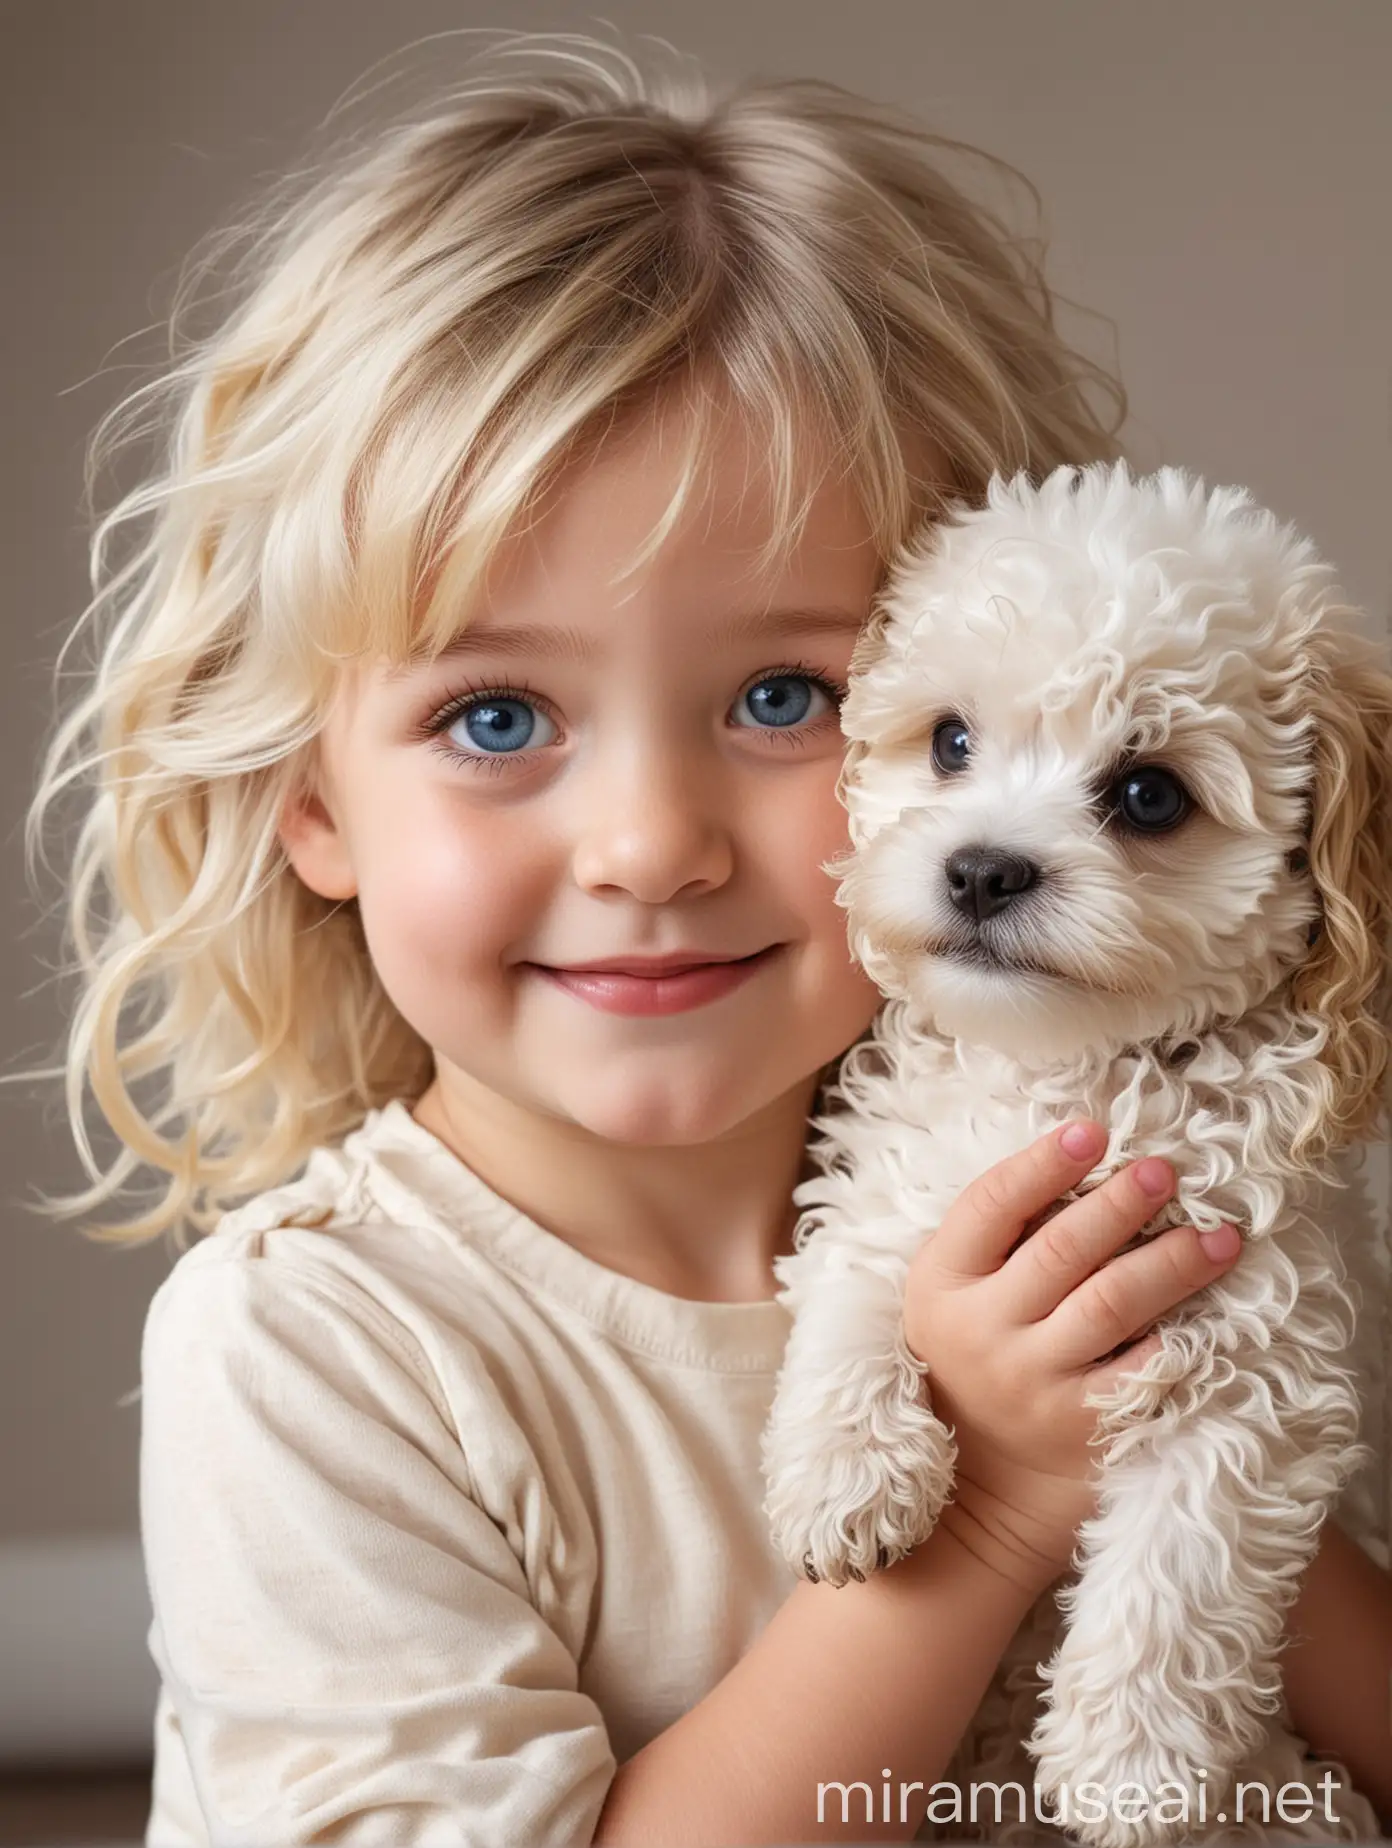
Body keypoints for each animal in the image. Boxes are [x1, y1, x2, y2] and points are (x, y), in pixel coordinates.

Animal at [761, 454, 1390, 1840]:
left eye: (1149, 794)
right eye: (950, 741)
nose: (982, 870)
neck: (1080, 1074)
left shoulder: (1262, 1355)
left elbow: (1184, 1556)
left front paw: (1132, 1763)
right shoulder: (906, 1186)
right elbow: (854, 1290)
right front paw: (846, 1474)